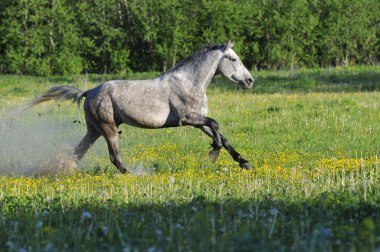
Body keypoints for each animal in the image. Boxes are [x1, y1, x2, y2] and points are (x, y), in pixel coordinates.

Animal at [28, 41, 254, 172]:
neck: (190, 82)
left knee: (78, 153)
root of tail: (89, 91)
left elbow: (221, 135)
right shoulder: (188, 118)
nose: (250, 80)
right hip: (108, 129)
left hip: (94, 130)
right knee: (114, 158)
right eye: (233, 59)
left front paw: (244, 162)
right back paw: (134, 174)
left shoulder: (198, 122)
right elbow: (216, 126)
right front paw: (213, 153)